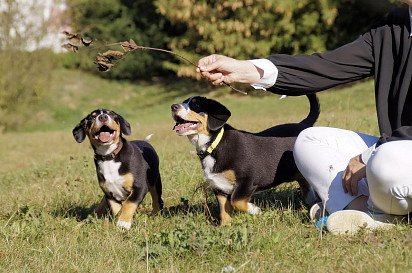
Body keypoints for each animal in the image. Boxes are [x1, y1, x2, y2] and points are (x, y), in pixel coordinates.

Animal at [171, 94, 318, 224]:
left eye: (195, 105)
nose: (173, 106)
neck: (213, 146)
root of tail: (303, 124)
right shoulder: (219, 186)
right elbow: (224, 210)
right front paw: (226, 226)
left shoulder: (247, 181)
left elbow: (236, 201)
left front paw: (254, 210)